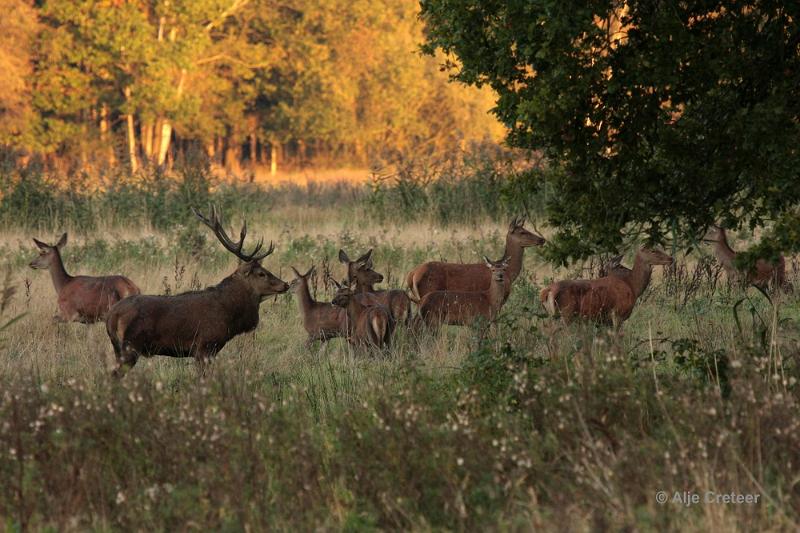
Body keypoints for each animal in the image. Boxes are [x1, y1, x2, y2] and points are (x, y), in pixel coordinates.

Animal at [104, 206, 290, 376]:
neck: (230, 316)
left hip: (119, 348)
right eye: (261, 273)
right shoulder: (205, 345)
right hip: (130, 346)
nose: (285, 284)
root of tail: (112, 315)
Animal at [406, 215, 544, 300]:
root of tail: (412, 275)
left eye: (526, 229)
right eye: (522, 232)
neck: (509, 272)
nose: (542, 239)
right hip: (428, 290)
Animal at [536, 248, 676, 324]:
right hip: (567, 313)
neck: (632, 286)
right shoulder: (618, 314)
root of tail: (547, 292)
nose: (671, 258)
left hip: (551, 315)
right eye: (653, 250)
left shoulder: (603, 320)